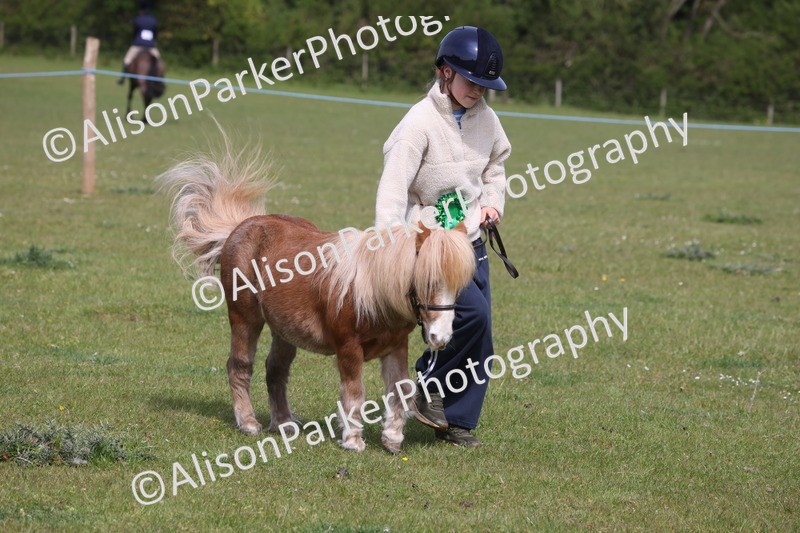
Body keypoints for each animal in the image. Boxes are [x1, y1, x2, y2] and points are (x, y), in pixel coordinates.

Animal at [157, 138, 476, 453]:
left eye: (459, 286)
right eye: (429, 280)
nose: (440, 337)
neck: (371, 291)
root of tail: (241, 227)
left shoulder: (396, 346)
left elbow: (400, 389)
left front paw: (392, 439)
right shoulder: (349, 349)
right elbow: (354, 393)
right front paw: (353, 440)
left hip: (284, 331)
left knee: (275, 370)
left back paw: (283, 424)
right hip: (244, 319)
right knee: (239, 366)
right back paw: (248, 422)